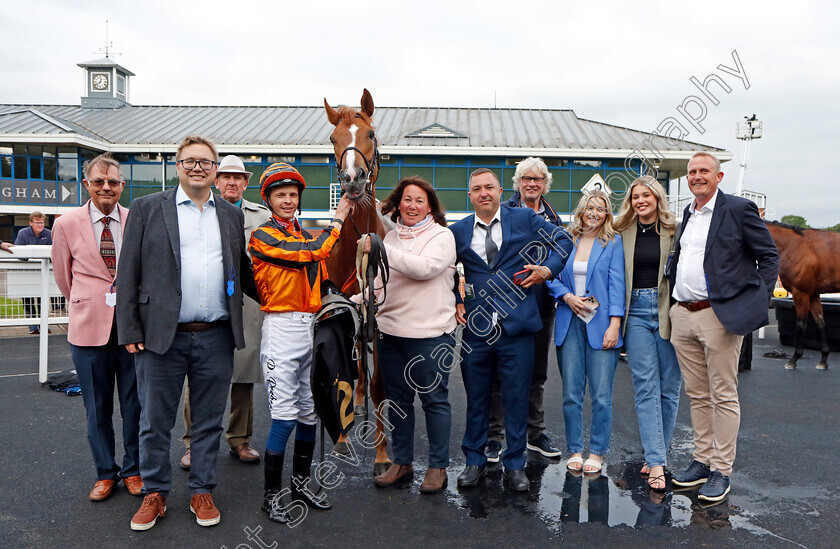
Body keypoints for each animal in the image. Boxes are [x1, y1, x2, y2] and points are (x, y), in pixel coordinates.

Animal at [764, 220, 840, 370]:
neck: (792, 245)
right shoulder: (814, 294)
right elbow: (820, 322)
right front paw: (823, 360)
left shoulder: (801, 293)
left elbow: (800, 323)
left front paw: (794, 359)